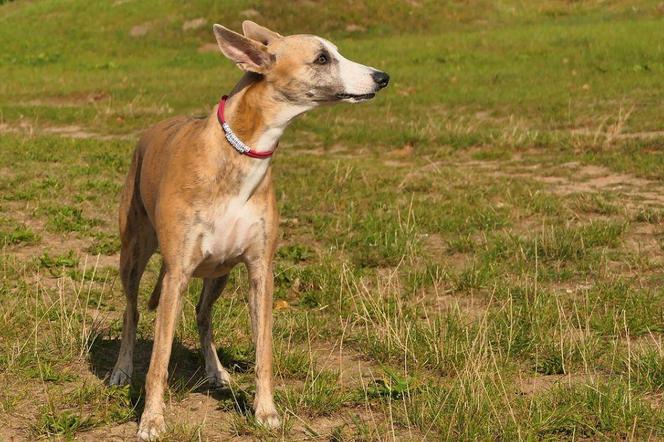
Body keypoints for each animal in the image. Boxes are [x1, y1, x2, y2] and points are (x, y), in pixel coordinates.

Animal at [109, 19, 390, 438]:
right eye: (322, 58)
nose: (382, 77)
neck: (239, 153)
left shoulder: (260, 269)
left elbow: (264, 350)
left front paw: (265, 411)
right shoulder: (177, 273)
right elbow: (158, 360)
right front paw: (152, 420)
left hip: (218, 272)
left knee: (202, 315)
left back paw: (216, 371)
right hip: (134, 254)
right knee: (132, 314)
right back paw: (121, 369)